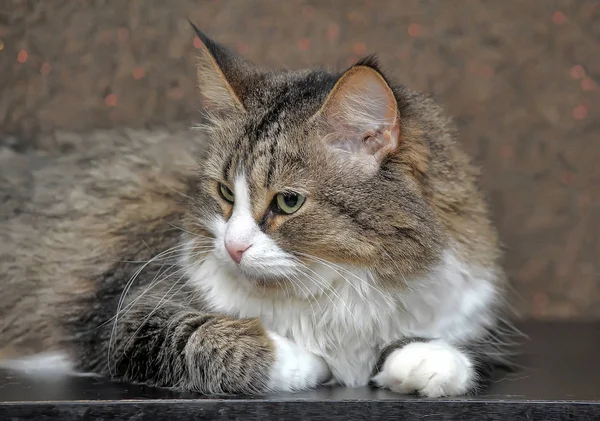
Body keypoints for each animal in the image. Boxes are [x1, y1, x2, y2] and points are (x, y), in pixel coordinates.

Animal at [0, 24, 516, 396]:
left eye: (288, 201)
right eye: (226, 193)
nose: (232, 247)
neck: (333, 289)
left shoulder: (465, 310)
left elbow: (443, 345)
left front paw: (429, 360)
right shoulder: (131, 315)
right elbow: (219, 340)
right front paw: (307, 360)